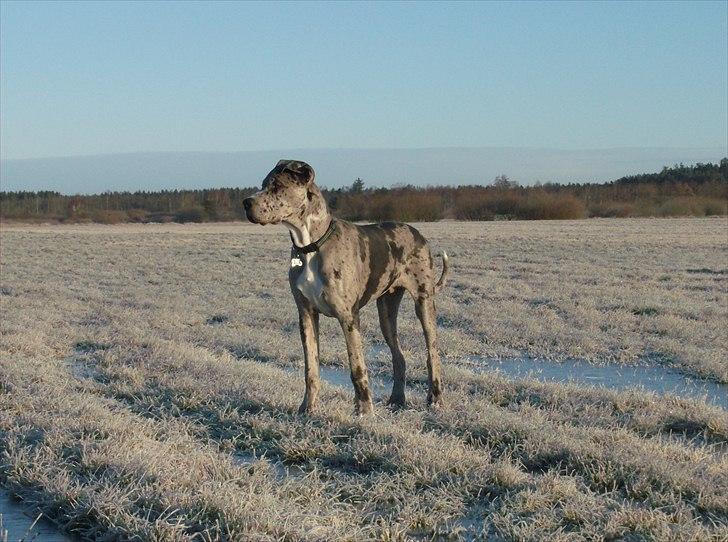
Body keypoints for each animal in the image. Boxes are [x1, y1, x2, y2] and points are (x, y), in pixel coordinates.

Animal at [245, 162, 450, 416]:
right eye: (264, 184)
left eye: (277, 186)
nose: (246, 203)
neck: (311, 246)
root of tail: (418, 234)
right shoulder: (306, 315)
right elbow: (310, 368)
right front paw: (307, 409)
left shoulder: (348, 317)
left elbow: (357, 367)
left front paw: (364, 411)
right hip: (386, 312)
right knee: (399, 356)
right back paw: (396, 399)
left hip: (424, 303)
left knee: (433, 353)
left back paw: (435, 399)